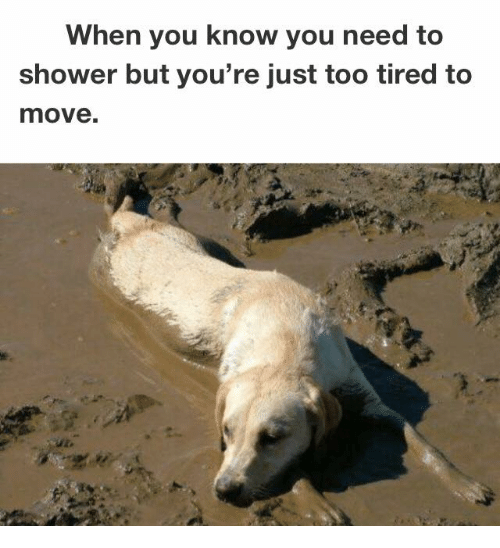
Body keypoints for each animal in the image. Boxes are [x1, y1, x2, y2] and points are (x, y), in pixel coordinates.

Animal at [92, 191, 494, 524]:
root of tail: (126, 223)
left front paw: (468, 485)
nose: (224, 490)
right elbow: (294, 469)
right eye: (227, 431)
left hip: (197, 242)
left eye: (272, 437)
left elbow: (419, 438)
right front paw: (322, 507)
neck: (285, 346)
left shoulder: (359, 389)